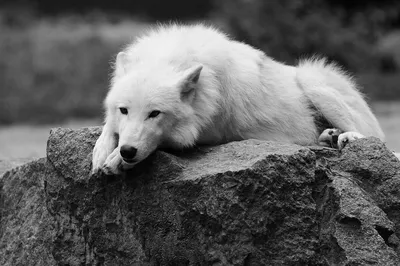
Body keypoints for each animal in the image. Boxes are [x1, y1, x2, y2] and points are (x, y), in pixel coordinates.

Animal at [92, 23, 390, 176]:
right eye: (124, 110)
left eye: (155, 113)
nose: (128, 151)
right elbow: (108, 127)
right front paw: (102, 151)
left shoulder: (207, 133)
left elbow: (164, 142)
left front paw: (115, 160)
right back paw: (329, 135)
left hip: (313, 82)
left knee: (374, 140)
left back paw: (345, 137)